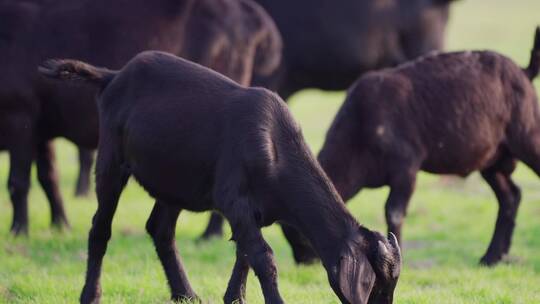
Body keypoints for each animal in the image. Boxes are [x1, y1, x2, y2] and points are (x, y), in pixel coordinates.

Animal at [316, 28, 540, 266]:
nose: (304, 262)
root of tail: (524, 71)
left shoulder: (406, 168)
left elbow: (394, 212)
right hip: (492, 159)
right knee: (510, 197)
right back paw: (493, 256)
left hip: (527, 138)